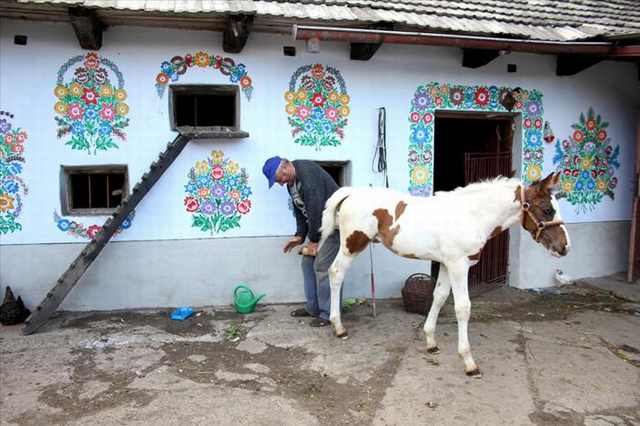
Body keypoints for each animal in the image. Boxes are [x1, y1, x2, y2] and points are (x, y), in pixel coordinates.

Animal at [320, 172, 568, 376]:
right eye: (547, 209)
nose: (565, 247)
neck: (472, 215)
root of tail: (351, 192)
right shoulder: (459, 265)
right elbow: (462, 308)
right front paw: (469, 362)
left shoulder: (447, 264)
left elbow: (439, 297)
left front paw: (431, 342)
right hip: (352, 245)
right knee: (335, 273)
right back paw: (338, 327)